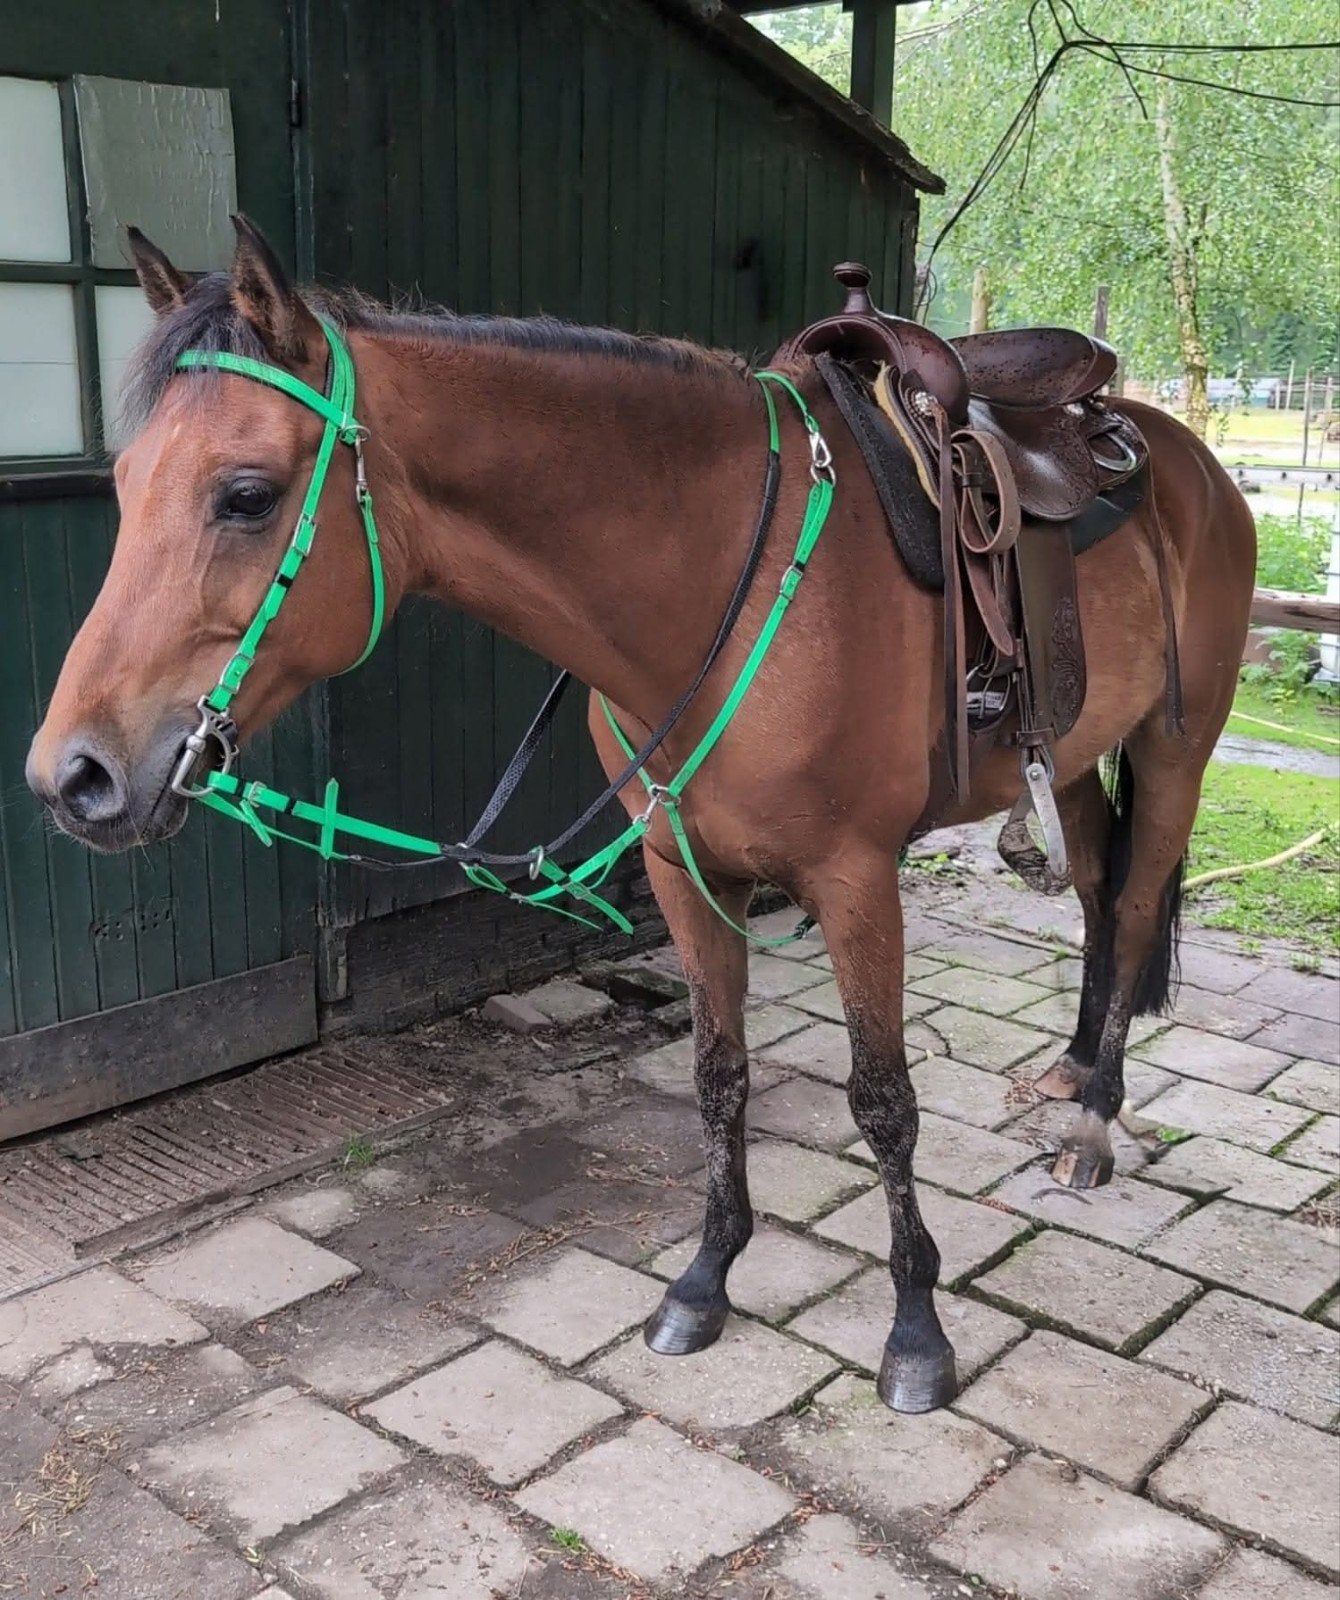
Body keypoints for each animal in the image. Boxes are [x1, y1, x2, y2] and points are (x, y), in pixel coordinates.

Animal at [26, 218, 1255, 1414]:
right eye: (124, 483)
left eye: (246, 494)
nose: (72, 776)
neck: (722, 578)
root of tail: (1188, 458)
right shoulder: (682, 869)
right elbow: (717, 1076)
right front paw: (706, 1279)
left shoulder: (856, 879)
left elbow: (882, 1101)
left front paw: (915, 1331)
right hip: (1080, 755)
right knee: (1095, 892)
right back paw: (1070, 1074)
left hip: (1174, 748)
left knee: (1133, 905)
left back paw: (1092, 1126)